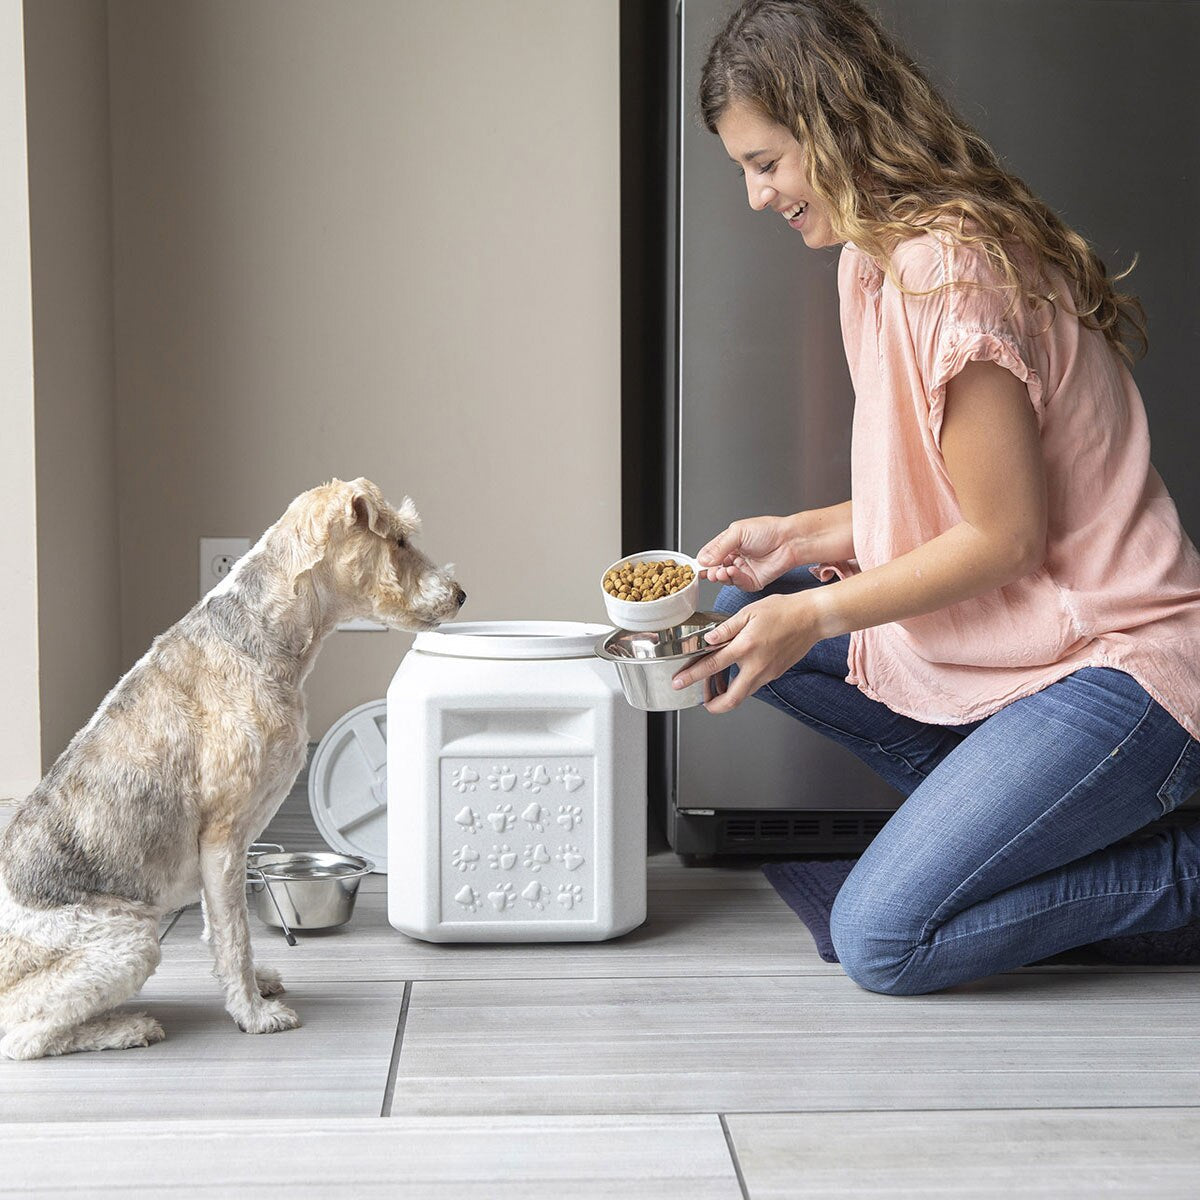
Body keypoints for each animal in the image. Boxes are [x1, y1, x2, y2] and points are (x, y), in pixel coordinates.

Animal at [0, 477, 463, 1060]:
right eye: (399, 539)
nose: (460, 594)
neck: (269, 634)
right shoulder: (222, 836)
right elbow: (233, 935)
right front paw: (254, 1014)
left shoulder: (227, 850)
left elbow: (217, 930)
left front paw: (256, 986)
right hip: (129, 941)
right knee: (25, 1037)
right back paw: (128, 1028)